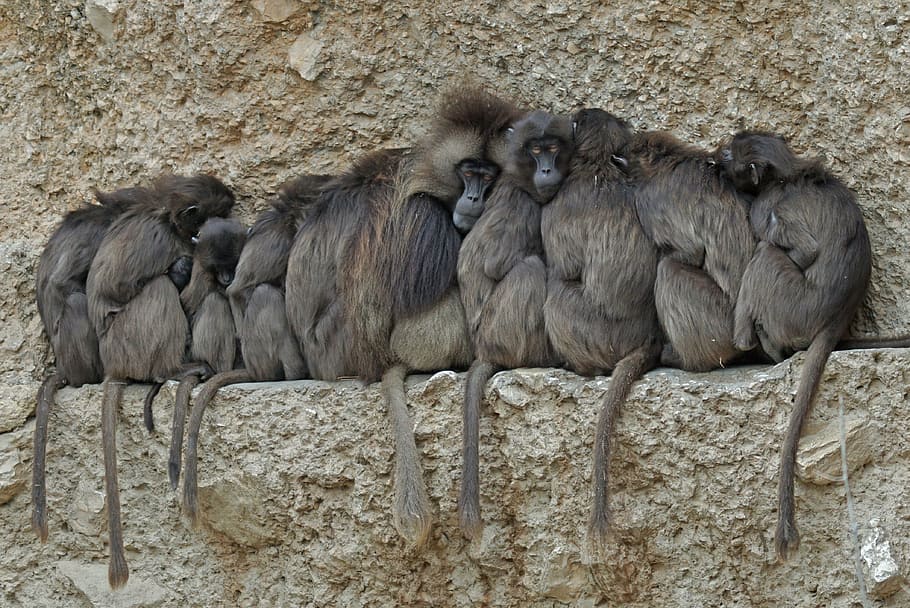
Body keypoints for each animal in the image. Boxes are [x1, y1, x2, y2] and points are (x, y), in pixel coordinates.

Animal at [86, 174, 235, 588]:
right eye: (215, 213)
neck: (167, 217)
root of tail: (113, 365)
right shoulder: (155, 237)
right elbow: (120, 287)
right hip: (130, 342)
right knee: (156, 288)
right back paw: (170, 370)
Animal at [455, 110, 572, 540]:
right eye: (535, 150)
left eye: (552, 147)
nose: (547, 169)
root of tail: (484, 347)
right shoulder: (522, 205)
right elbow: (495, 263)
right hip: (500, 329)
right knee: (530, 268)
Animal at [541, 108, 662, 550]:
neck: (598, 165)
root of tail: (647, 339)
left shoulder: (556, 208)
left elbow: (563, 265)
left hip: (595, 334)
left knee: (557, 293)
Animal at [717, 131, 872, 560]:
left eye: (728, 154)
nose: (714, 157)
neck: (786, 173)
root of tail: (834, 320)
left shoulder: (770, 205)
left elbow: (802, 249)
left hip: (790, 306)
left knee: (768, 254)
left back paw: (750, 342)